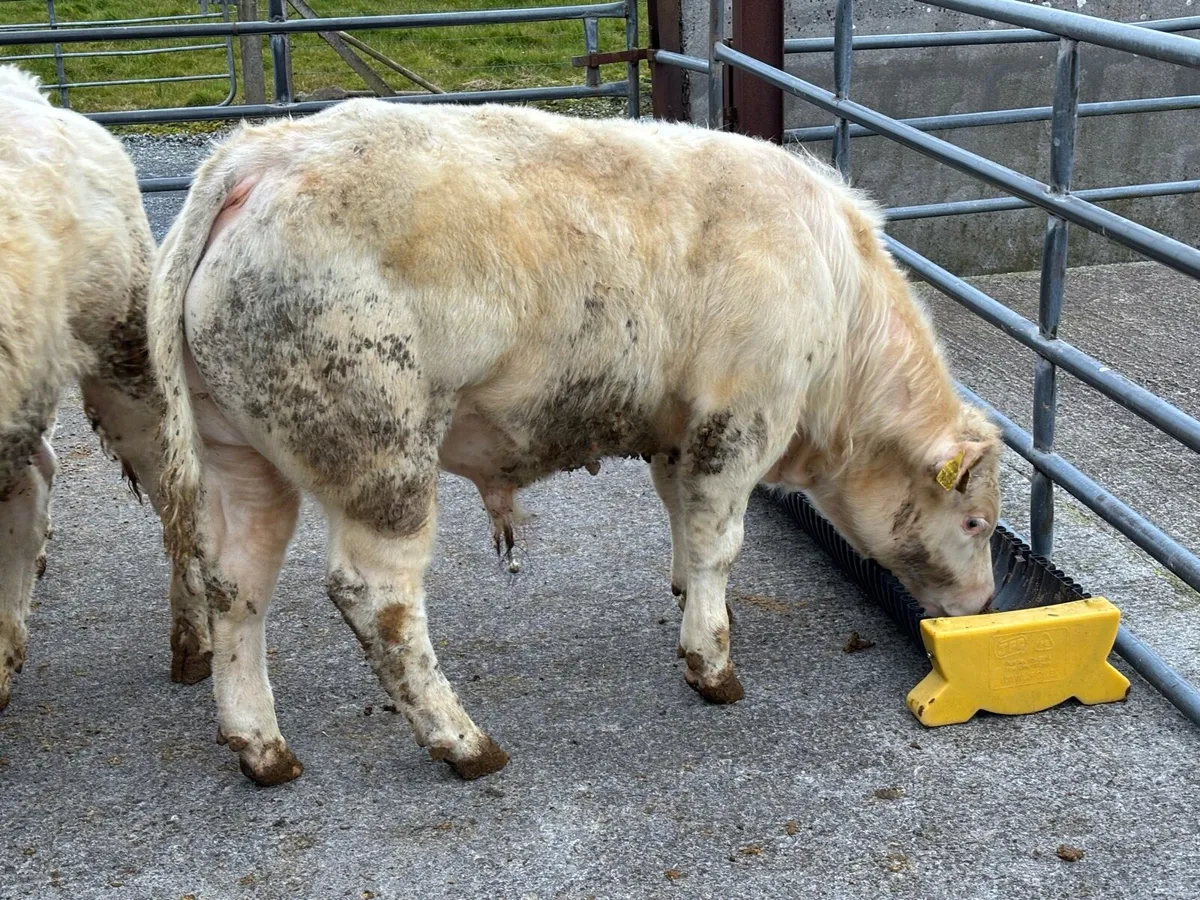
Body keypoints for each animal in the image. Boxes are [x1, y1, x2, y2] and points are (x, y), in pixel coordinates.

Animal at [148, 99, 1002, 786]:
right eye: (974, 521)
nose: (986, 602)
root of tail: (256, 155)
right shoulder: (743, 417)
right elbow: (720, 541)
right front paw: (713, 665)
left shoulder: (676, 431)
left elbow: (683, 522)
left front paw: (689, 597)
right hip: (379, 454)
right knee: (377, 597)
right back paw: (463, 743)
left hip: (238, 456)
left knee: (236, 583)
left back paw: (262, 749)